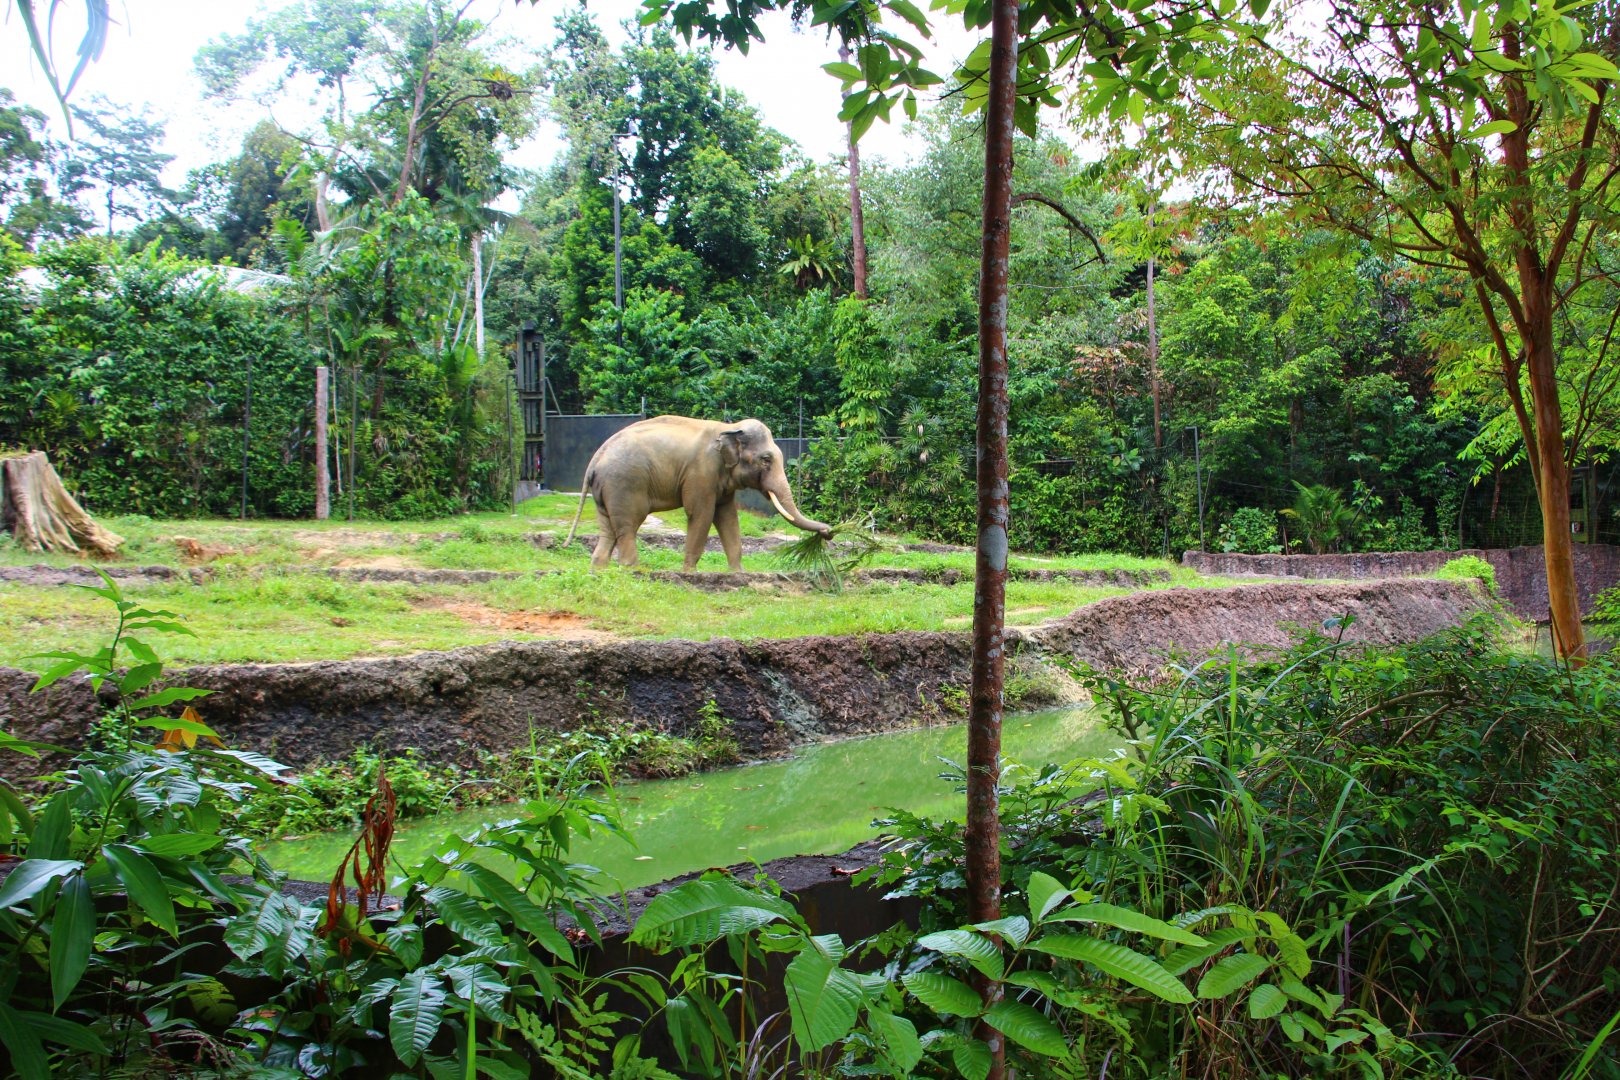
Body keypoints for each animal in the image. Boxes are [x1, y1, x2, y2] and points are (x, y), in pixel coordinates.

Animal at [563, 415, 833, 571]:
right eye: (766, 460)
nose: (828, 532)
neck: (728, 428)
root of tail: (595, 459)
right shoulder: (700, 474)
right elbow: (701, 514)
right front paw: (689, 574)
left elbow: (727, 517)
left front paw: (738, 574)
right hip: (624, 486)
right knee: (628, 526)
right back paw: (631, 570)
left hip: (605, 491)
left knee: (608, 530)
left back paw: (599, 570)